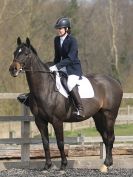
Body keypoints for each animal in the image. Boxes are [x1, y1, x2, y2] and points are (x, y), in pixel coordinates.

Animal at [9, 37, 122, 173]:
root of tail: (114, 81)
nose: (13, 69)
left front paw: (63, 165)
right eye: (15, 53)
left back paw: (106, 164)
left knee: (110, 137)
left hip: (109, 115)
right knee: (105, 137)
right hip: (98, 116)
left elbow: (60, 143)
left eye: (26, 54)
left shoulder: (57, 120)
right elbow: (45, 143)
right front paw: (47, 166)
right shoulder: (40, 120)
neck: (45, 88)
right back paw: (106, 164)